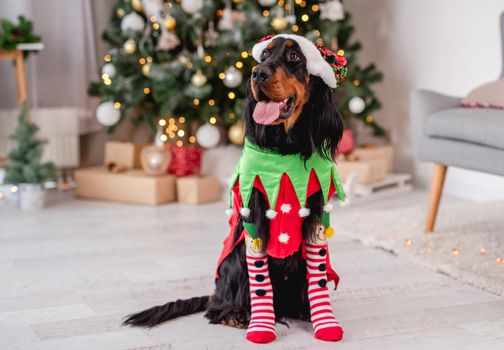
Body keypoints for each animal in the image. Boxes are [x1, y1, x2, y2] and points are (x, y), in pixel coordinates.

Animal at [124, 34, 348, 344]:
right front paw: (261, 326)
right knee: (217, 309)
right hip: (234, 261)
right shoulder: (254, 212)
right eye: (264, 55)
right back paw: (240, 314)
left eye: (294, 57)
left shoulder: (315, 208)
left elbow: (318, 273)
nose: (258, 73)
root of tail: (217, 292)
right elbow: (259, 277)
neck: (286, 148)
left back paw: (299, 309)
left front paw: (323, 319)